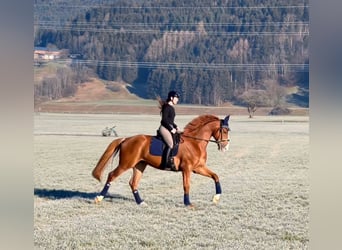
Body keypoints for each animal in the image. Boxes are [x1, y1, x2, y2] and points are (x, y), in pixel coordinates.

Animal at [91, 114, 230, 206]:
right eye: (224, 130)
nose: (226, 146)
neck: (195, 142)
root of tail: (126, 139)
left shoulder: (198, 168)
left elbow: (215, 176)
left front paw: (216, 197)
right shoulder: (187, 169)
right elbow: (186, 185)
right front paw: (187, 203)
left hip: (140, 165)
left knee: (133, 183)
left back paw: (141, 202)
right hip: (126, 164)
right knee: (112, 175)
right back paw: (99, 198)